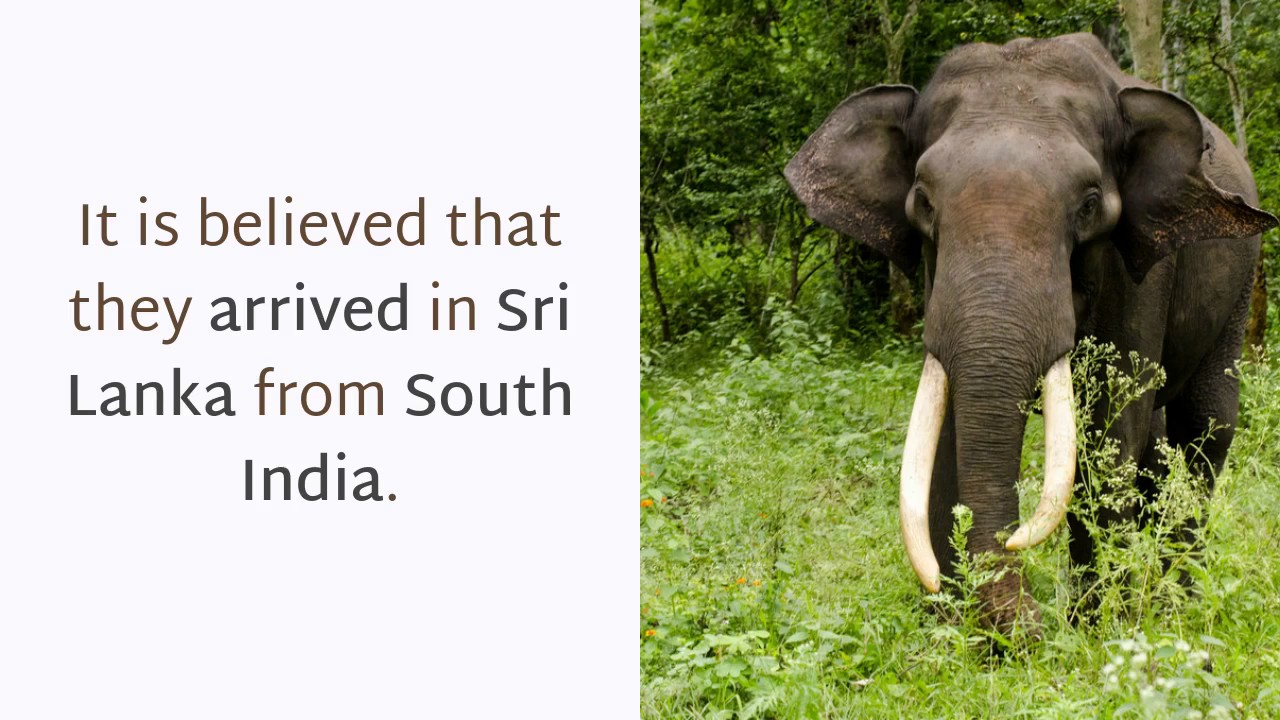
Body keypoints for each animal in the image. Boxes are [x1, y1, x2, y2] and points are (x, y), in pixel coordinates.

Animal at [785, 33, 1277, 632]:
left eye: (1089, 204)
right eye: (923, 200)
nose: (1030, 621)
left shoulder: (1142, 269)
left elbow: (1109, 432)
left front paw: (1095, 627)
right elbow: (950, 430)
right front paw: (954, 628)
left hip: (1240, 283)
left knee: (1206, 431)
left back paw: (1175, 600)